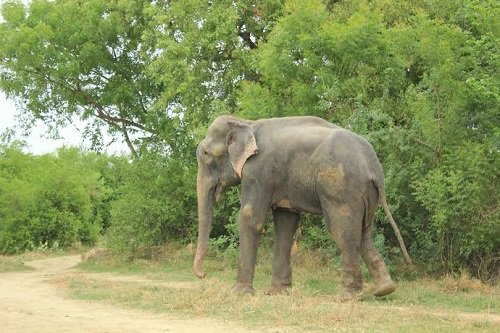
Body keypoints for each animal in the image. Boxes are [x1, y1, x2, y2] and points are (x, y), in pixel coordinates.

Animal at [193, 115, 412, 300]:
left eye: (205, 153)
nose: (203, 274)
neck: (246, 122)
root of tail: (373, 167)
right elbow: (286, 222)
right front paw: (278, 293)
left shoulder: (259, 171)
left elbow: (250, 218)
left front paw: (239, 293)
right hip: (366, 192)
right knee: (363, 233)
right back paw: (384, 289)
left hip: (341, 188)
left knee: (343, 232)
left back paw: (346, 297)